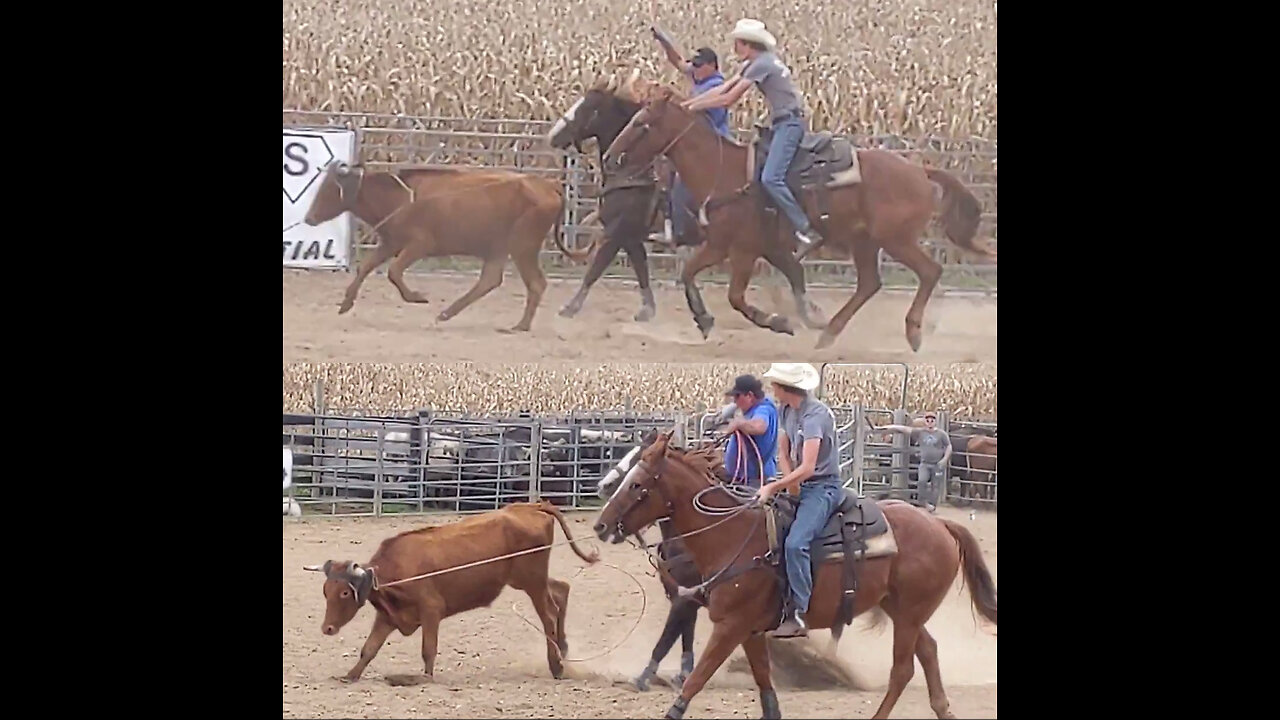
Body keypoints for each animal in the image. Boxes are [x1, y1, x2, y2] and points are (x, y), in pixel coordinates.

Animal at [304, 497, 599, 681]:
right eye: (325, 591)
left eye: (344, 592)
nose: (327, 628)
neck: (394, 571)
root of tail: (533, 506)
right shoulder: (388, 617)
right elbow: (369, 649)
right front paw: (350, 675)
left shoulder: (431, 610)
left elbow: (428, 648)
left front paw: (423, 677)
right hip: (526, 579)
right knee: (561, 591)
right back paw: (563, 650)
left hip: (532, 579)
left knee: (548, 613)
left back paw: (556, 664)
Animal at [545, 71, 824, 330]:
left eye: (588, 107)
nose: (552, 136)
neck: (636, 173)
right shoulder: (631, 236)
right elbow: (641, 270)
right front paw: (648, 310)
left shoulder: (617, 231)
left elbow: (595, 269)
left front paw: (570, 308)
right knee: (794, 272)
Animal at [591, 425, 998, 717]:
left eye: (637, 484)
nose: (600, 524)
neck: (732, 534)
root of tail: (941, 524)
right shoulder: (747, 628)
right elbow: (764, 688)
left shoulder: (728, 625)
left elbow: (694, 678)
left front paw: (654, 678)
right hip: (900, 609)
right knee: (927, 651)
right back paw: (943, 710)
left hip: (909, 613)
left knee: (902, 670)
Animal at [604, 75, 993, 351]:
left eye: (641, 123)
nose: (611, 157)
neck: (724, 171)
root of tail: (919, 171)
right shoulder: (737, 246)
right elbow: (688, 274)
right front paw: (703, 320)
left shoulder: (742, 250)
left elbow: (735, 297)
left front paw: (779, 322)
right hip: (865, 242)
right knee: (870, 283)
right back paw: (829, 334)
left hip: (895, 239)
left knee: (929, 271)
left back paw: (912, 332)